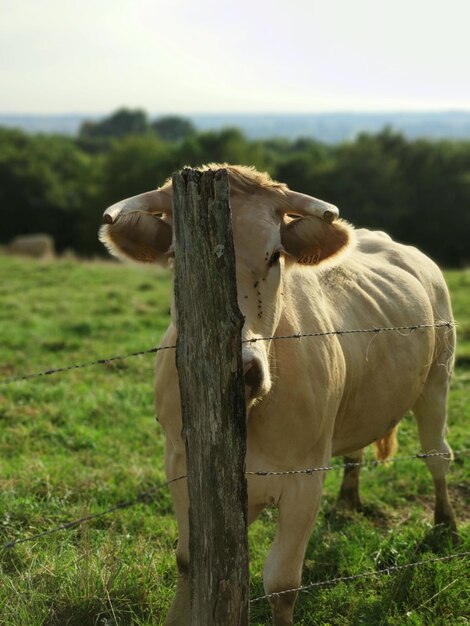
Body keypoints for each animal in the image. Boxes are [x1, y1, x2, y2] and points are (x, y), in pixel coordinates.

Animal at [99, 165, 456, 624]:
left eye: (275, 255)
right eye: (178, 259)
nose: (243, 370)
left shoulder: (304, 480)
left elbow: (282, 585)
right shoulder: (179, 465)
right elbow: (188, 559)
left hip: (438, 380)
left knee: (437, 454)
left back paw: (445, 523)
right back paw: (349, 498)